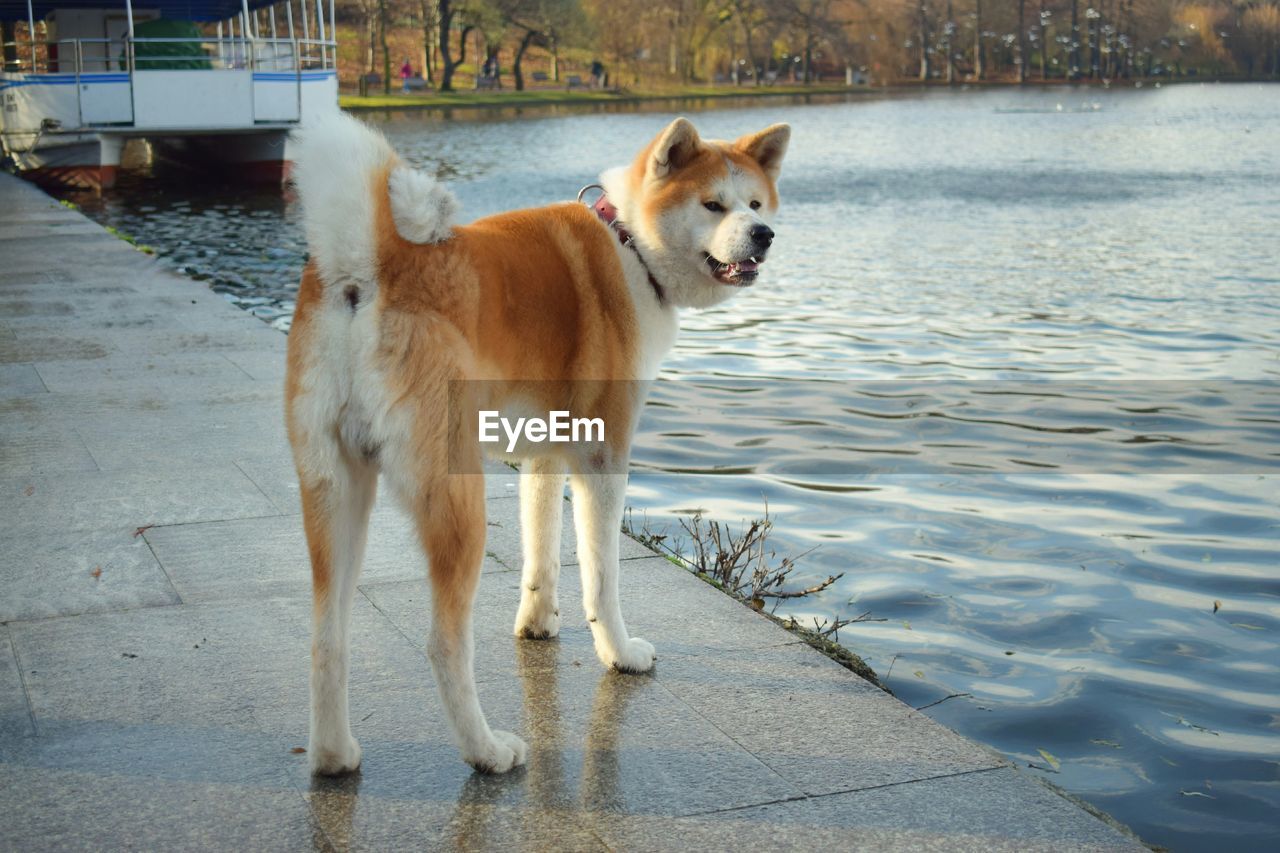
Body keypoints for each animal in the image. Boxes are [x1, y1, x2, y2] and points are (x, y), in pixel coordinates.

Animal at [289, 111, 783, 768]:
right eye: (712, 204)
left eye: (755, 202)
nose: (763, 234)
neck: (630, 246)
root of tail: (369, 268)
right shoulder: (602, 455)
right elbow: (601, 576)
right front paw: (619, 653)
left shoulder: (544, 450)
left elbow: (540, 550)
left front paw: (538, 621)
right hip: (456, 500)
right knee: (444, 644)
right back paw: (487, 750)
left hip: (336, 492)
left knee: (326, 640)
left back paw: (333, 755)